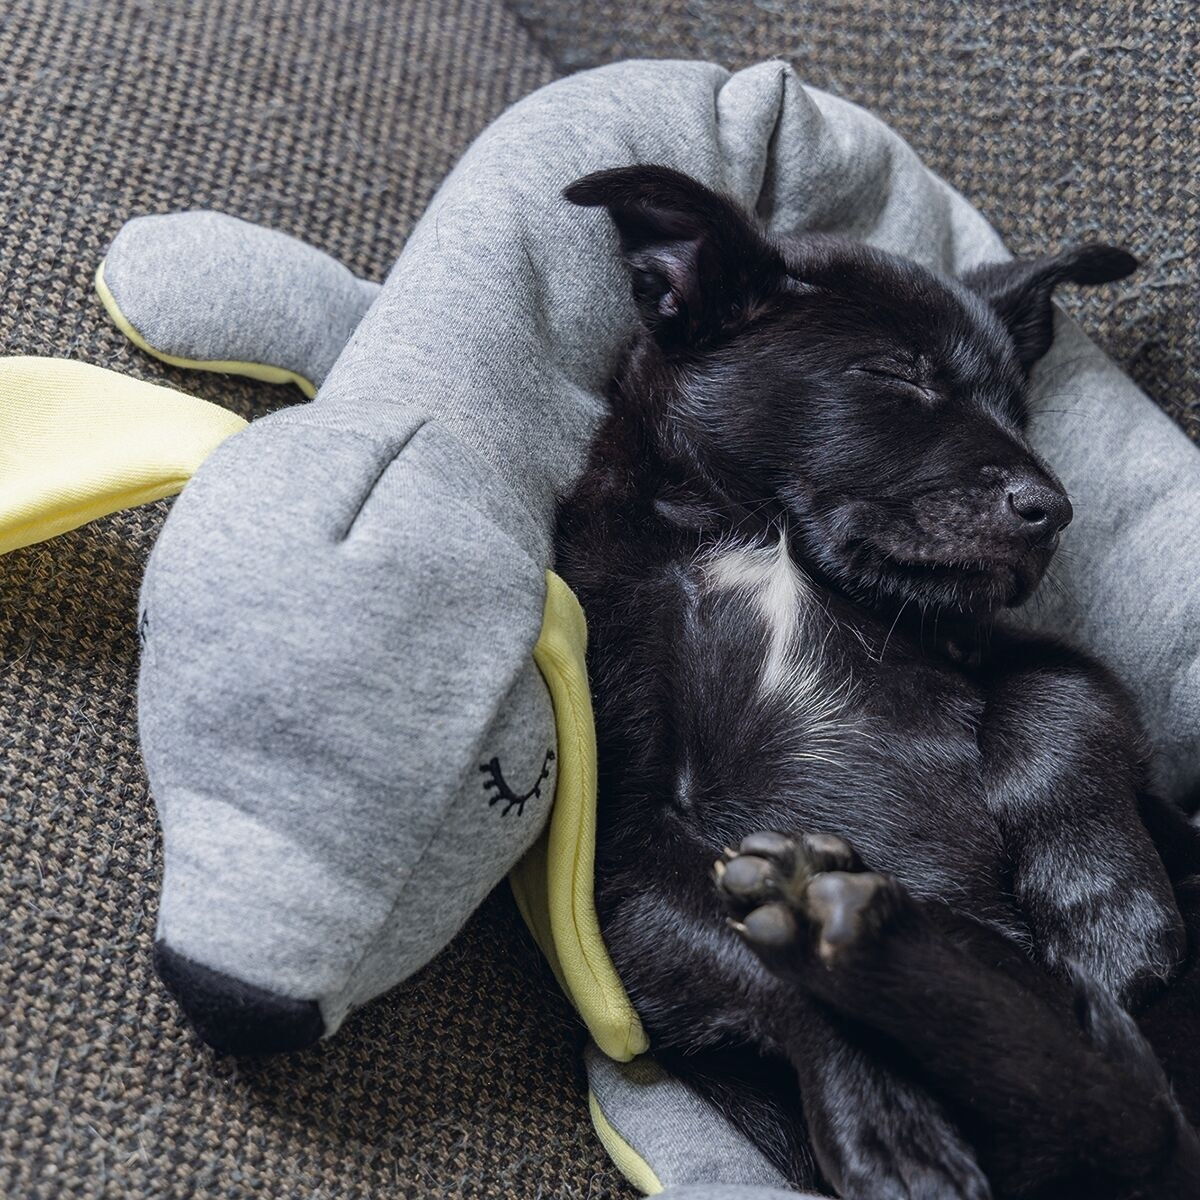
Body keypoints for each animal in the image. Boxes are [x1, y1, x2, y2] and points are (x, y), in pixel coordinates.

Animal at [553, 164, 1200, 1199]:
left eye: (1020, 411)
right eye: (898, 374)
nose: (1052, 509)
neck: (766, 541)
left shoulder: (1024, 656)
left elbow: (1060, 704)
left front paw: (1104, 910)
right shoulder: (627, 857)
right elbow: (752, 957)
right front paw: (884, 1121)